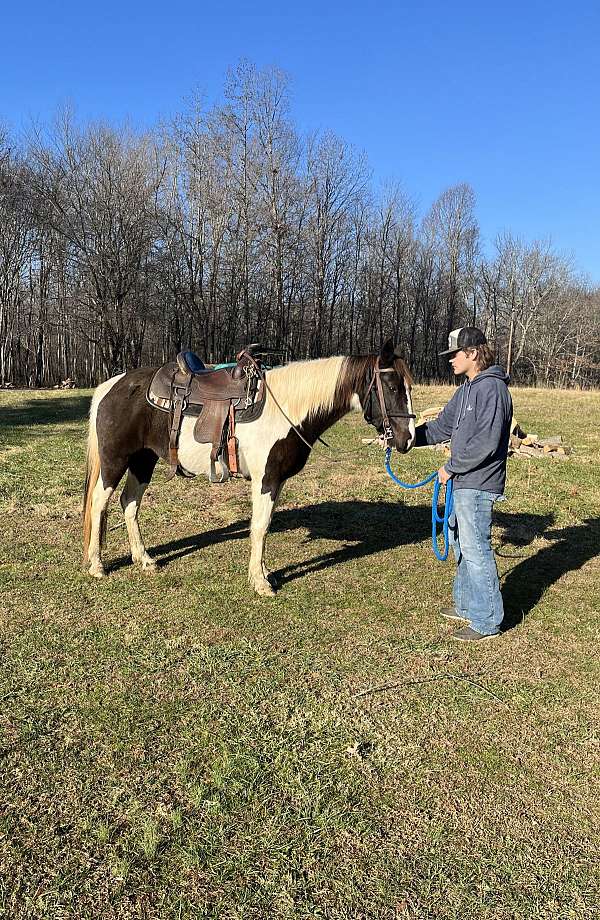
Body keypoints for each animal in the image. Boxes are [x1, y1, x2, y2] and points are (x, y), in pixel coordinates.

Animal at [82, 338, 414, 596]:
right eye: (391, 386)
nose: (408, 439)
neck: (287, 410)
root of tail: (111, 385)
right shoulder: (265, 480)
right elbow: (260, 527)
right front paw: (260, 582)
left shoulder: (278, 481)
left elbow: (263, 526)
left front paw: (264, 574)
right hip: (115, 461)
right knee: (99, 503)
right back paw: (97, 565)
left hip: (143, 460)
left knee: (129, 503)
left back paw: (144, 559)